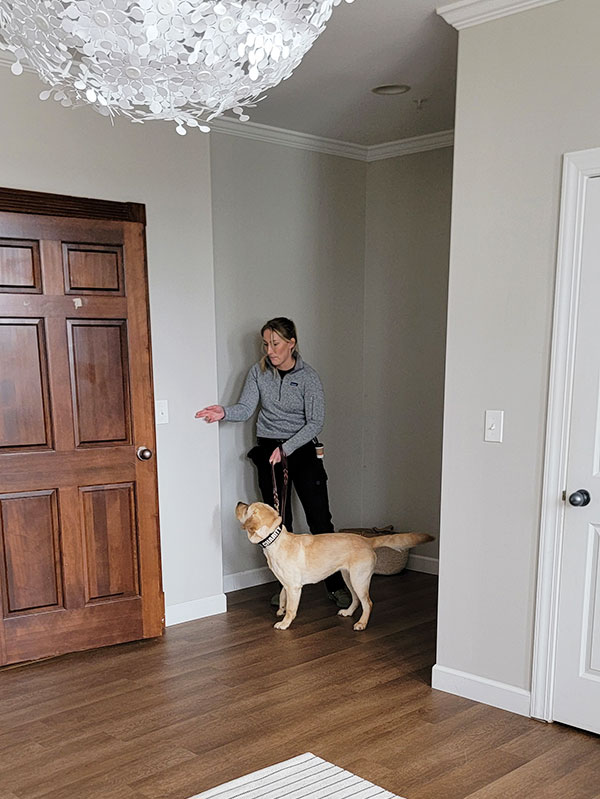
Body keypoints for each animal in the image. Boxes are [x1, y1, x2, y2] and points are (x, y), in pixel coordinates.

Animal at [234, 500, 432, 632]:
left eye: (247, 508)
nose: (238, 502)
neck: (274, 540)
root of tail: (367, 540)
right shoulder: (286, 583)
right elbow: (283, 597)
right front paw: (280, 610)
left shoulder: (294, 586)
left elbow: (291, 608)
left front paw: (284, 623)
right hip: (348, 577)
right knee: (356, 599)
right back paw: (348, 613)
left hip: (359, 579)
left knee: (367, 602)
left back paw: (361, 624)